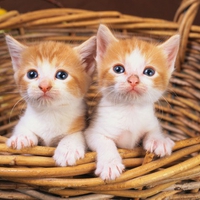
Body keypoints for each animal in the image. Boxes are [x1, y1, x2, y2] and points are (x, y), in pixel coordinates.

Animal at [5, 35, 96, 166]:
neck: (49, 113)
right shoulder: (26, 119)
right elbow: (21, 125)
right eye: (31, 74)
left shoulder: (83, 121)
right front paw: (21, 136)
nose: (44, 85)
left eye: (62, 75)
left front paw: (68, 149)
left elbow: (78, 134)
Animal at [83, 24, 180, 180]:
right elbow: (105, 141)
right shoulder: (93, 131)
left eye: (149, 72)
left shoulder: (151, 121)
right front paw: (110, 164)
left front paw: (159, 141)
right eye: (118, 69)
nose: (133, 80)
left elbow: (154, 130)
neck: (130, 108)